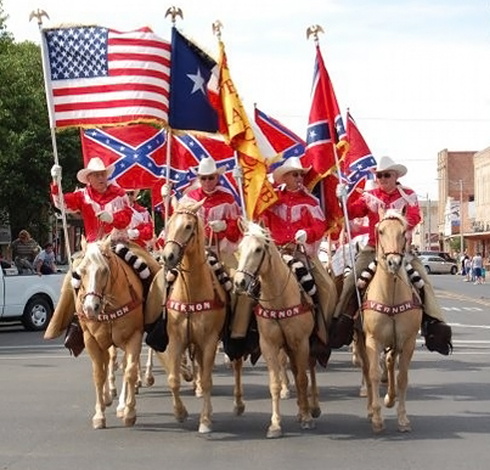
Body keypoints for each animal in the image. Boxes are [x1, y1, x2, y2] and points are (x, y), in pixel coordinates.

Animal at [72, 239, 149, 430]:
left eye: (105, 270)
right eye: (81, 271)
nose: (90, 308)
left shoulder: (134, 336)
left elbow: (129, 371)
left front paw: (129, 411)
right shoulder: (92, 340)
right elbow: (99, 374)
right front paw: (99, 415)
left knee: (126, 365)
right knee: (109, 362)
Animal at [146, 200, 244, 436]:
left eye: (189, 226)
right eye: (169, 223)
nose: (168, 257)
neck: (191, 292)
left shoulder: (209, 341)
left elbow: (208, 380)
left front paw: (205, 421)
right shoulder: (176, 340)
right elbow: (173, 379)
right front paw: (180, 412)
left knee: (236, 365)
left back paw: (238, 404)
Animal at [234, 222, 320, 438]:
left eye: (258, 249)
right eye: (240, 247)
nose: (239, 283)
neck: (280, 299)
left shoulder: (301, 343)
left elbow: (302, 379)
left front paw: (307, 418)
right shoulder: (269, 345)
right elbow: (274, 384)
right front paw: (275, 424)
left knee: (309, 370)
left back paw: (311, 408)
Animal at [354, 209, 424, 434]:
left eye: (403, 232)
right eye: (381, 231)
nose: (394, 263)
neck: (391, 294)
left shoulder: (408, 341)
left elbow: (402, 378)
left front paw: (402, 418)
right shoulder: (372, 340)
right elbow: (374, 374)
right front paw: (377, 418)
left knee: (390, 363)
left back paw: (389, 398)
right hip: (362, 339)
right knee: (368, 370)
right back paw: (371, 407)